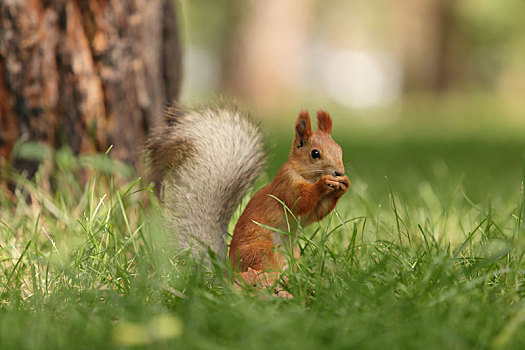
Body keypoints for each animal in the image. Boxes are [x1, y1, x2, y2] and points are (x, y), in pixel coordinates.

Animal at [145, 103, 348, 296]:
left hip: (292, 253)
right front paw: (323, 183)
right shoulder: (286, 186)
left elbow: (315, 213)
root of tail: (229, 272)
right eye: (315, 153)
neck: (303, 173)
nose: (339, 172)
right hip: (263, 252)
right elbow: (301, 201)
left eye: (340, 150)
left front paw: (343, 186)